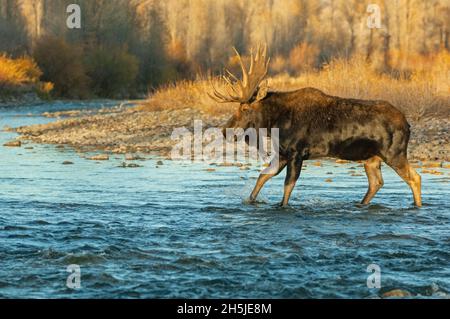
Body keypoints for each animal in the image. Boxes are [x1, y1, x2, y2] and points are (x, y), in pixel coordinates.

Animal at [209, 46, 420, 209]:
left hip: (394, 153)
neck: (274, 123)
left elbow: (288, 187)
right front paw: (251, 200)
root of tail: (407, 125)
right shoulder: (282, 153)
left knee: (415, 178)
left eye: (244, 108)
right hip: (371, 158)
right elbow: (262, 176)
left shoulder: (296, 152)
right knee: (376, 183)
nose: (225, 130)